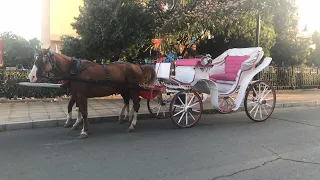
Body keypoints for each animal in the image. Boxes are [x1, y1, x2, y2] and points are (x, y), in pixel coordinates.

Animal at [28, 47, 156, 139]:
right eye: (35, 59)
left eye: (42, 60)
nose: (31, 77)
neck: (74, 70)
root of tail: (138, 66)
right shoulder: (76, 93)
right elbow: (76, 108)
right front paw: (75, 124)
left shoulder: (81, 94)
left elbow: (84, 112)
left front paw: (84, 131)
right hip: (125, 89)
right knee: (128, 101)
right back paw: (125, 117)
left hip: (133, 89)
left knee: (136, 104)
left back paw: (132, 124)